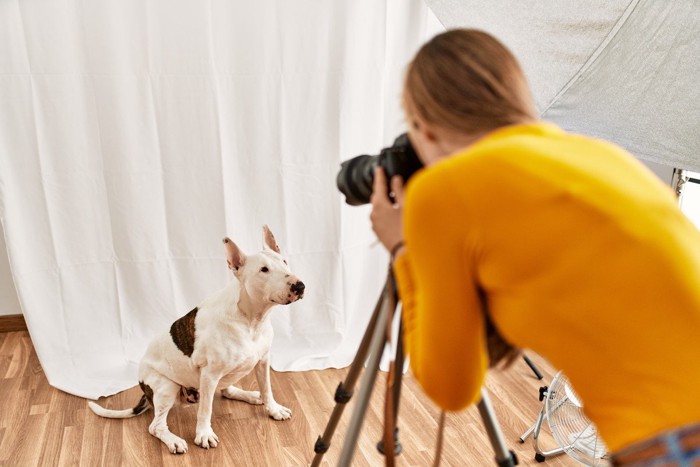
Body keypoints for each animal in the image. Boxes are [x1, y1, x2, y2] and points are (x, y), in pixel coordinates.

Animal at [87, 226, 304, 454]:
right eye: (264, 270)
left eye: (284, 261)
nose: (299, 286)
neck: (251, 319)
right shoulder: (209, 374)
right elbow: (205, 409)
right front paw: (204, 435)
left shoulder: (263, 361)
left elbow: (267, 388)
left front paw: (274, 409)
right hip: (166, 387)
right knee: (156, 426)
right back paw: (173, 440)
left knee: (227, 390)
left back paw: (251, 395)